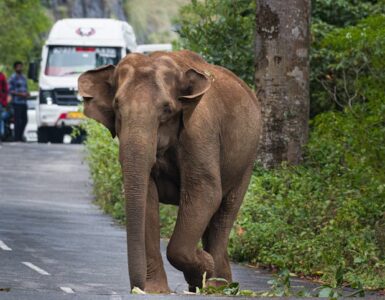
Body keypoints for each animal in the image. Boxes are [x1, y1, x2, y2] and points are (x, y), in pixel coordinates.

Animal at [79, 51, 260, 292]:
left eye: (166, 109)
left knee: (224, 212)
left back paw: (216, 286)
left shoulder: (200, 133)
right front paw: (155, 290)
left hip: (247, 161)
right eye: (117, 106)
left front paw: (204, 265)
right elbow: (147, 199)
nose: (136, 288)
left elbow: (205, 192)